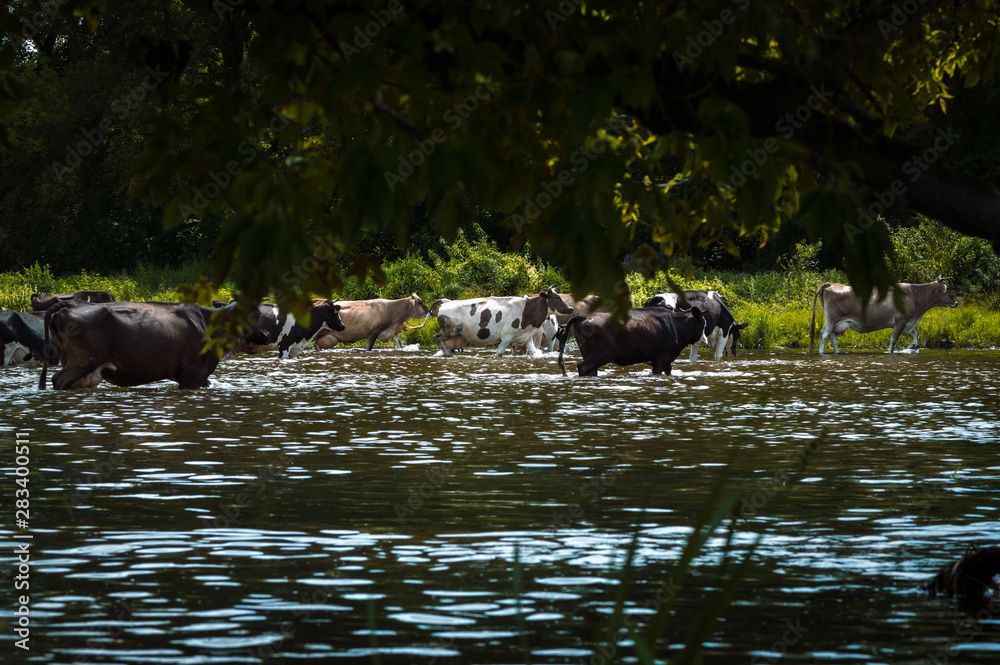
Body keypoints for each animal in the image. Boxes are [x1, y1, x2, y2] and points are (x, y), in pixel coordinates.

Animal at [38, 300, 268, 390]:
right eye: (257, 315)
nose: (266, 335)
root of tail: (68, 305)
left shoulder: (199, 375)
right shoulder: (191, 369)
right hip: (82, 360)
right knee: (59, 379)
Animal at [432, 287, 574, 357]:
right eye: (557, 297)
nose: (571, 308)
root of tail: (445, 303)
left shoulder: (526, 337)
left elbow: (535, 352)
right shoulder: (506, 337)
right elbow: (499, 353)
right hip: (451, 329)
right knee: (436, 337)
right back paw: (447, 354)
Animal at [556, 306, 709, 376]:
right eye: (703, 323)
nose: (705, 340)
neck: (676, 325)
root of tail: (585, 316)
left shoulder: (665, 361)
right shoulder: (661, 359)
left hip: (588, 353)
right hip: (602, 354)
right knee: (583, 367)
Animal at [810, 276, 958, 354]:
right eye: (948, 288)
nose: (956, 303)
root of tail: (831, 284)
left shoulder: (909, 322)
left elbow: (916, 332)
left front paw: (914, 346)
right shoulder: (900, 320)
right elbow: (893, 339)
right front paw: (889, 352)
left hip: (836, 322)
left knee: (832, 337)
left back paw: (837, 353)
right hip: (831, 319)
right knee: (824, 335)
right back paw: (821, 353)